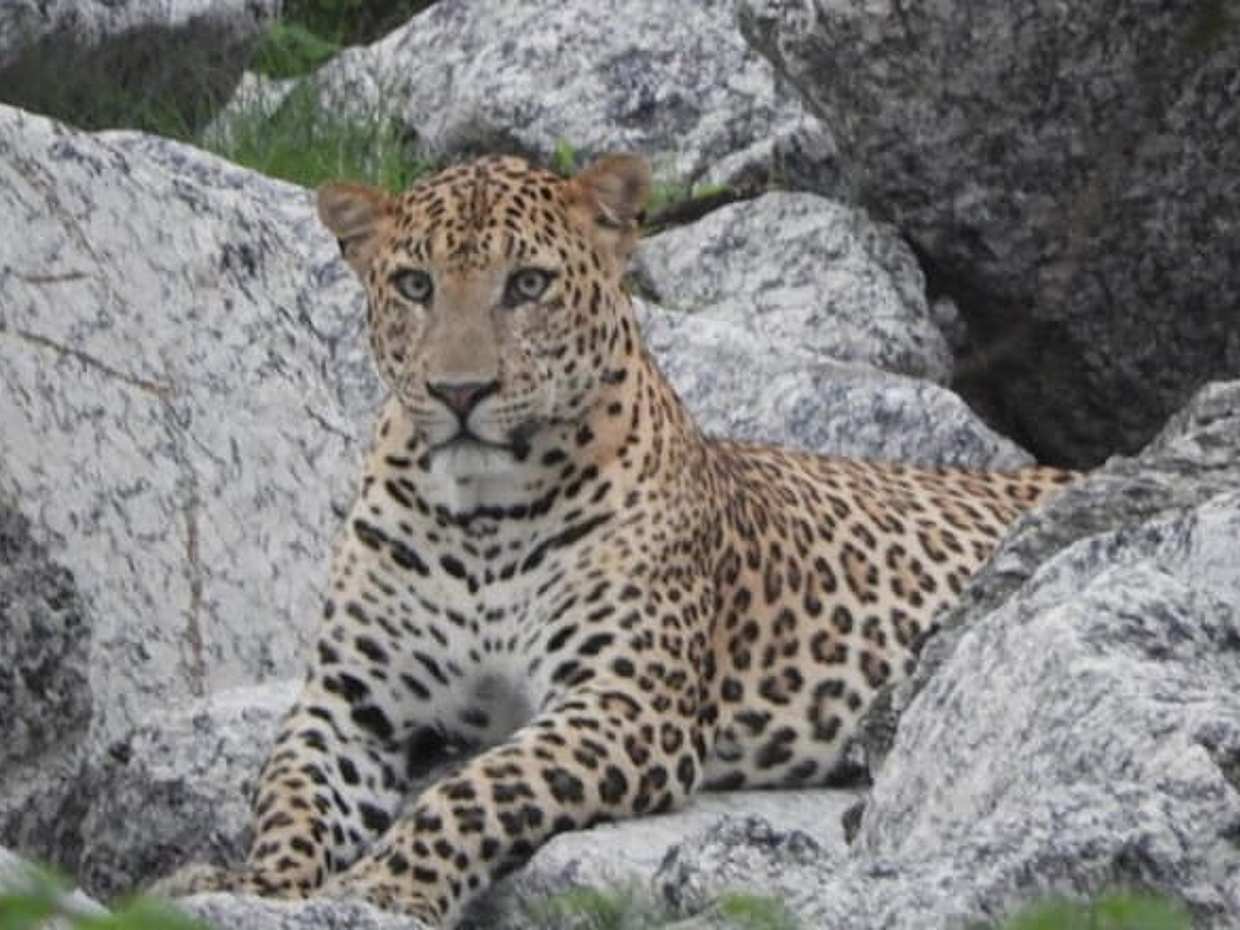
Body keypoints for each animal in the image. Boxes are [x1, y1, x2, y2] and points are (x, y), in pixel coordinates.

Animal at [153, 153, 1076, 927]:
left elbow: (477, 790)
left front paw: (387, 885)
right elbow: (292, 796)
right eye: (415, 284)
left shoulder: (623, 701)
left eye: (527, 284)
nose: (459, 392)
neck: (479, 518)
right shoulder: (352, 704)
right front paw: (258, 882)